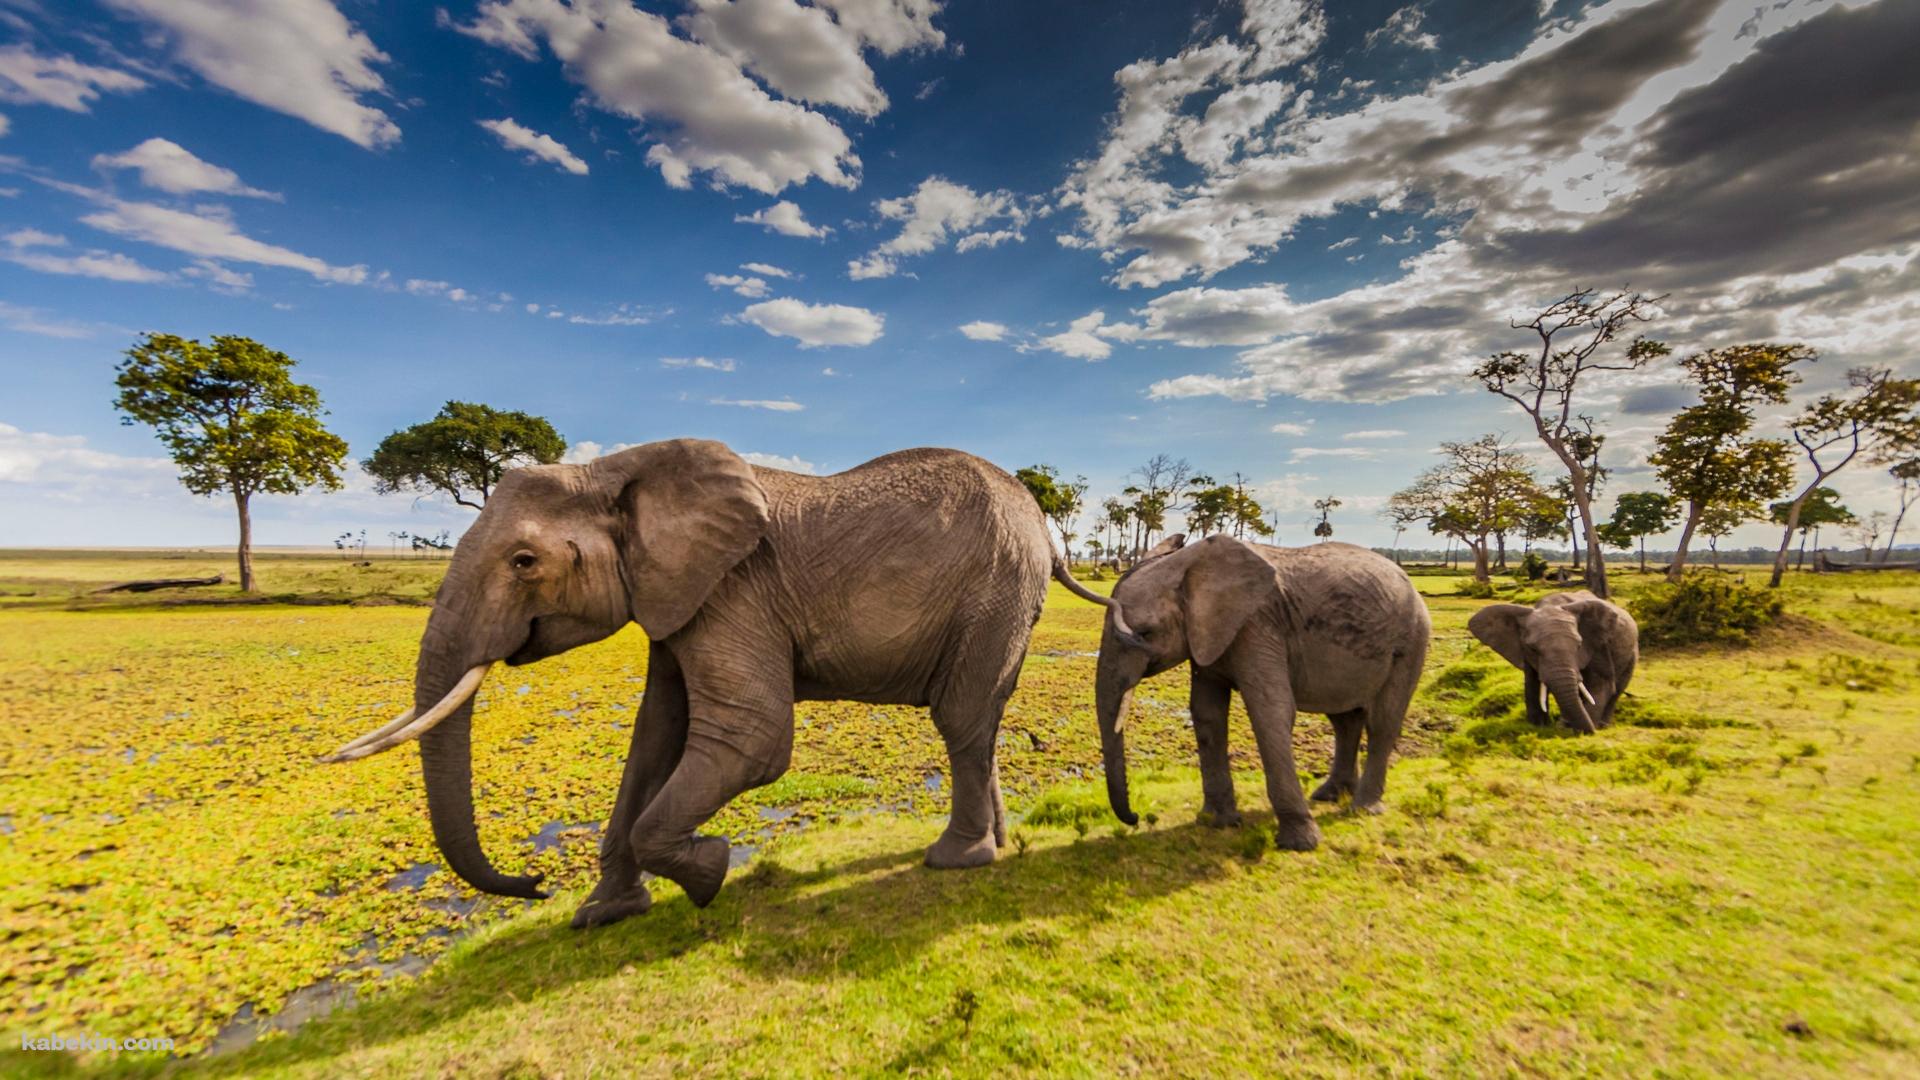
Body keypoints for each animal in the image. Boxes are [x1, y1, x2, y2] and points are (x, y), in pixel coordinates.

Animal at [326, 439, 1098, 928]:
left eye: (522, 562)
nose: (535, 884)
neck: (611, 471)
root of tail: (1041, 523)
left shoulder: (733, 588)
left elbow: (752, 737)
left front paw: (712, 872)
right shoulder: (675, 596)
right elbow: (655, 735)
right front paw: (602, 916)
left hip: (995, 590)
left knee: (961, 717)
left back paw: (954, 861)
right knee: (982, 720)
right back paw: (995, 848)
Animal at [1066, 535, 1431, 852]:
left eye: (1145, 633)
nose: (1136, 817)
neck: (1190, 566)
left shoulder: (1257, 624)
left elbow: (1270, 709)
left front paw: (1299, 844)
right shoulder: (1209, 634)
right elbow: (1206, 713)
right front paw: (1216, 822)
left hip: (1413, 638)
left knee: (1382, 722)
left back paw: (1362, 808)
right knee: (1344, 720)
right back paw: (1329, 795)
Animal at [1466, 590, 1638, 734]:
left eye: (1579, 645)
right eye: (1532, 649)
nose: (1589, 731)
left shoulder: (1598, 646)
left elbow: (1601, 684)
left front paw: (1587, 729)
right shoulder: (1524, 651)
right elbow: (1532, 684)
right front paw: (1538, 726)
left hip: (1632, 653)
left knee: (1617, 689)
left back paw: (1601, 726)